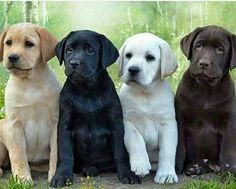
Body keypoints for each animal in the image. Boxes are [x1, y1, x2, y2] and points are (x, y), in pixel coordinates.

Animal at [0, 22, 60, 183]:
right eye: (8, 42)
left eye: (29, 44)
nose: (12, 57)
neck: (30, 83)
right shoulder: (14, 125)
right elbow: (18, 155)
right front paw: (22, 179)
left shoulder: (56, 123)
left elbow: (56, 154)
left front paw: (56, 176)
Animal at [50, 30, 140, 187]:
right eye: (69, 49)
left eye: (90, 50)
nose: (74, 63)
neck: (87, 90)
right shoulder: (65, 123)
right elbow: (65, 153)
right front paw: (61, 176)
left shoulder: (116, 123)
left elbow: (120, 152)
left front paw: (126, 173)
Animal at [118, 33, 179, 184]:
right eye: (128, 55)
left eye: (150, 57)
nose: (133, 69)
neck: (145, 93)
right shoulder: (127, 121)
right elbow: (136, 139)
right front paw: (140, 164)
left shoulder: (168, 124)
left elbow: (167, 151)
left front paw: (166, 174)